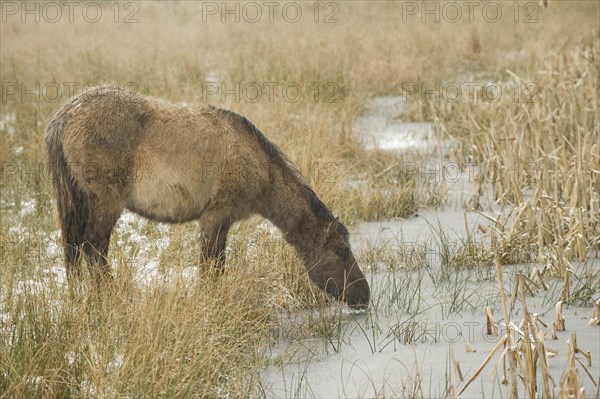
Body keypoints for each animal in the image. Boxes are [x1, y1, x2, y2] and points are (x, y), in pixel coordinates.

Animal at [44, 84, 370, 310]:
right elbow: (211, 268)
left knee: (75, 252)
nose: (364, 295)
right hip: (105, 203)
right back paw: (112, 298)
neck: (261, 168)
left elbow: (216, 266)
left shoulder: (221, 223)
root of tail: (63, 117)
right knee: (93, 249)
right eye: (342, 250)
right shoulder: (215, 217)